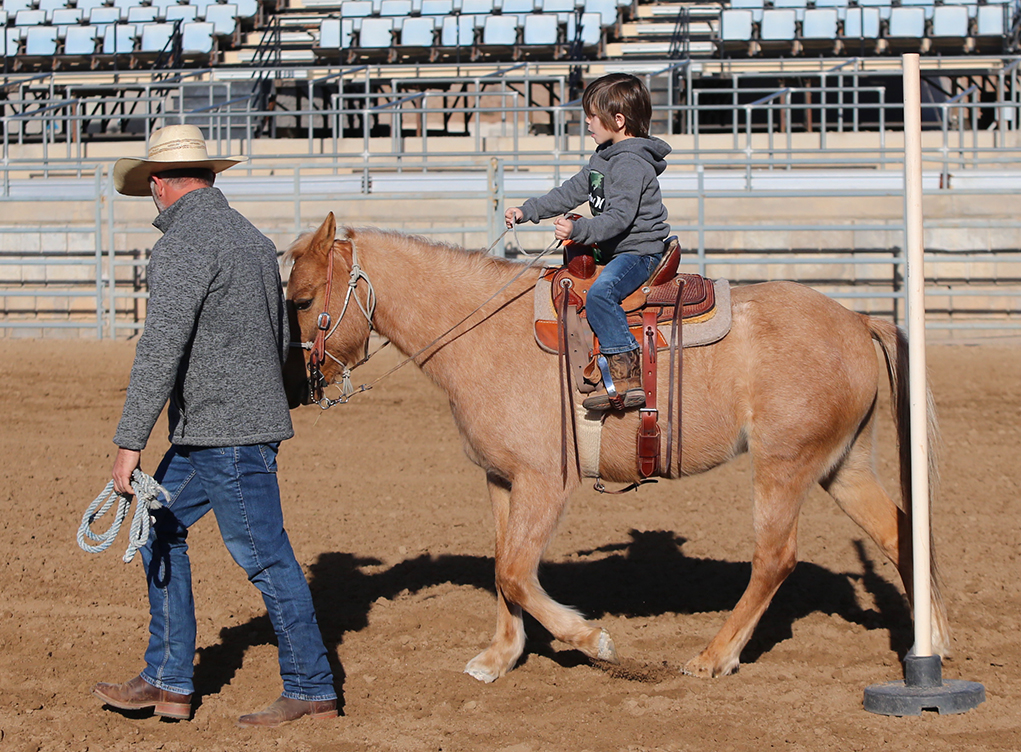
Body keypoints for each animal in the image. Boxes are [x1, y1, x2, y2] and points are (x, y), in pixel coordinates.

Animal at [281, 212, 947, 681]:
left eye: (304, 300)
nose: (295, 385)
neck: (484, 332)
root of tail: (856, 320)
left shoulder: (546, 482)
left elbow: (517, 571)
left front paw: (590, 640)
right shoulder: (501, 479)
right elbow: (502, 567)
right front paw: (499, 657)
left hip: (783, 466)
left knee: (775, 558)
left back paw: (713, 656)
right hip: (842, 465)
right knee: (900, 535)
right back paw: (933, 645)